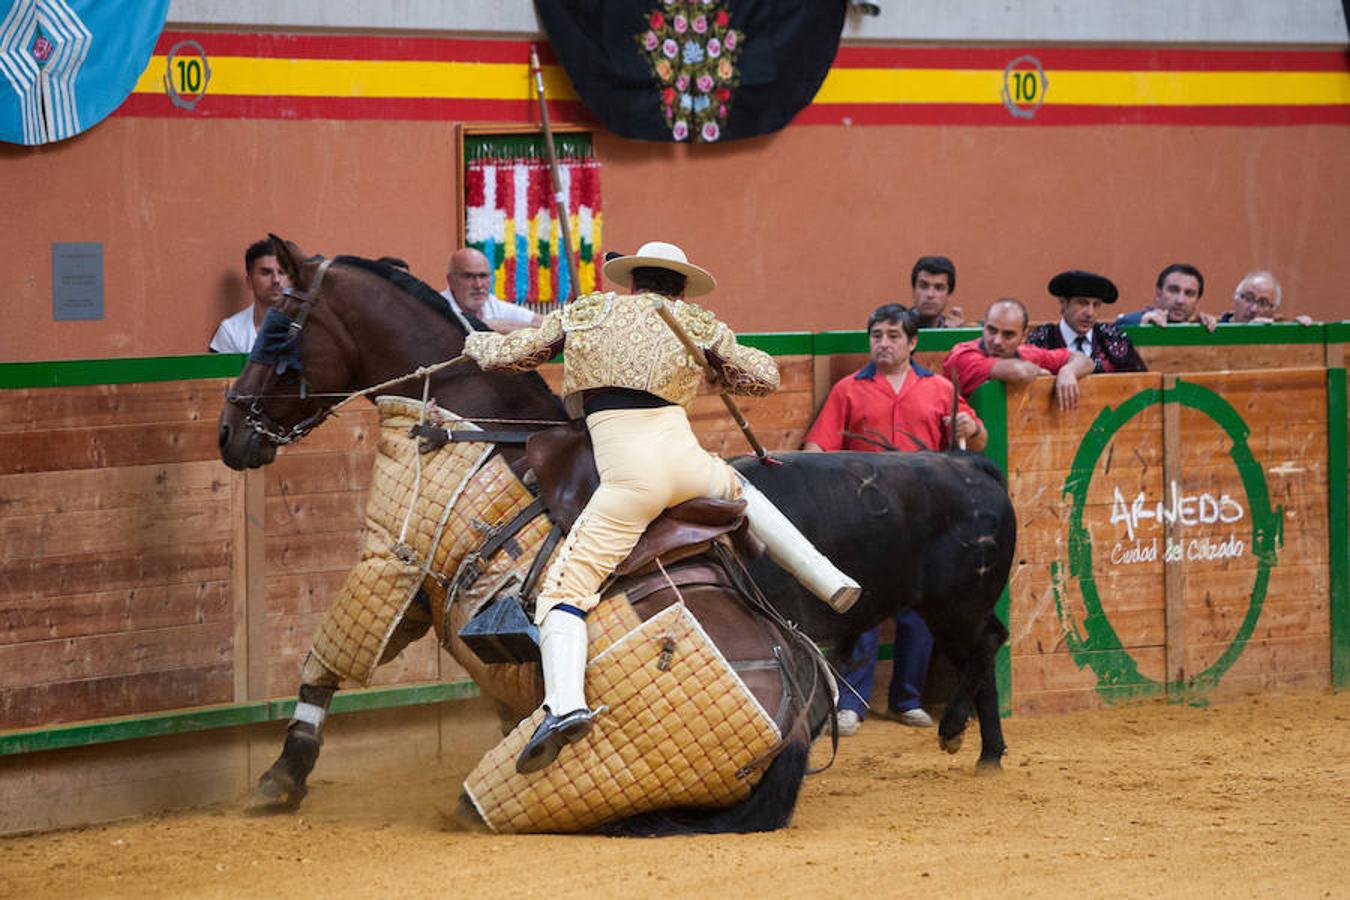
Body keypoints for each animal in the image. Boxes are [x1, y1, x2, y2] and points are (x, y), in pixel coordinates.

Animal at [739, 450, 1015, 766]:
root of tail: (969, 464)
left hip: (959, 605)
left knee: (989, 641)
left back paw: (953, 728)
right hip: (944, 614)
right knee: (980, 660)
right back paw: (989, 755)